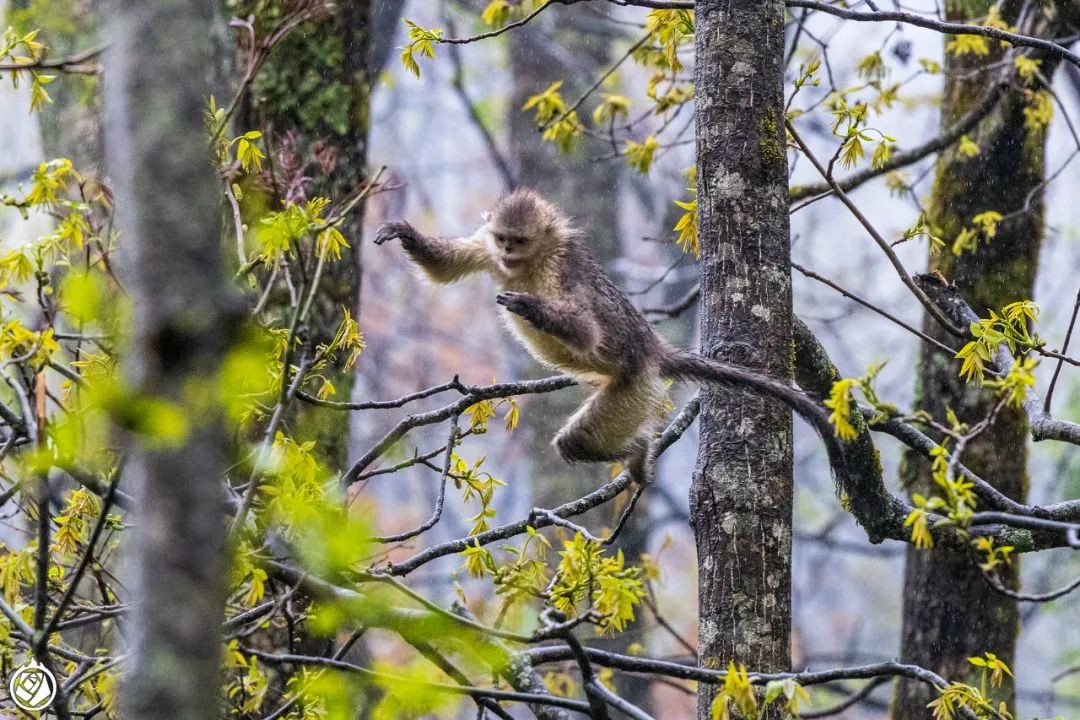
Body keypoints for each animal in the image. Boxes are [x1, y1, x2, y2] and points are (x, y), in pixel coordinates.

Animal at [375, 188, 846, 487]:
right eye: (504, 239)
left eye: (520, 241)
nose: (508, 253)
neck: (531, 263)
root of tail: (652, 347)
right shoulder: (485, 249)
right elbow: (447, 266)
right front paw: (405, 234)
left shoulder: (560, 270)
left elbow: (587, 331)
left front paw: (531, 308)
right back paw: (638, 454)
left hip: (633, 387)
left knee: (578, 440)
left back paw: (637, 449)